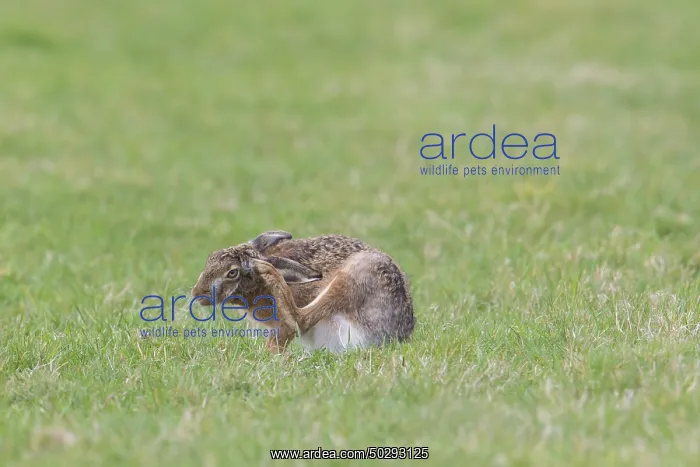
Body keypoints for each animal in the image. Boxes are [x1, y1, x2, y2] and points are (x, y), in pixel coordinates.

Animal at [191, 230, 415, 354]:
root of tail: (395, 335)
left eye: (232, 272)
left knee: (300, 319)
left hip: (353, 276)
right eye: (211, 258)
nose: (197, 293)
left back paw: (269, 272)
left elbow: (290, 328)